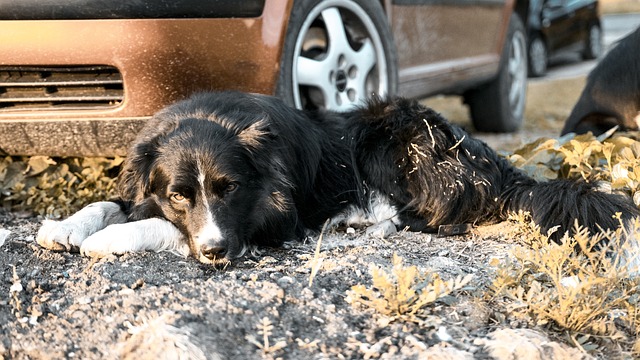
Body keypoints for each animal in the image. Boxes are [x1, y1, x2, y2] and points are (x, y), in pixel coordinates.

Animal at [38, 92, 640, 268]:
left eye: (231, 190)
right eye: (178, 194)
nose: (214, 255)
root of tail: (493, 160)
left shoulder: (269, 221)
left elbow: (162, 228)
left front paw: (111, 238)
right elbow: (114, 202)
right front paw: (64, 227)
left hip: (392, 134)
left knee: (433, 214)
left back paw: (360, 220)